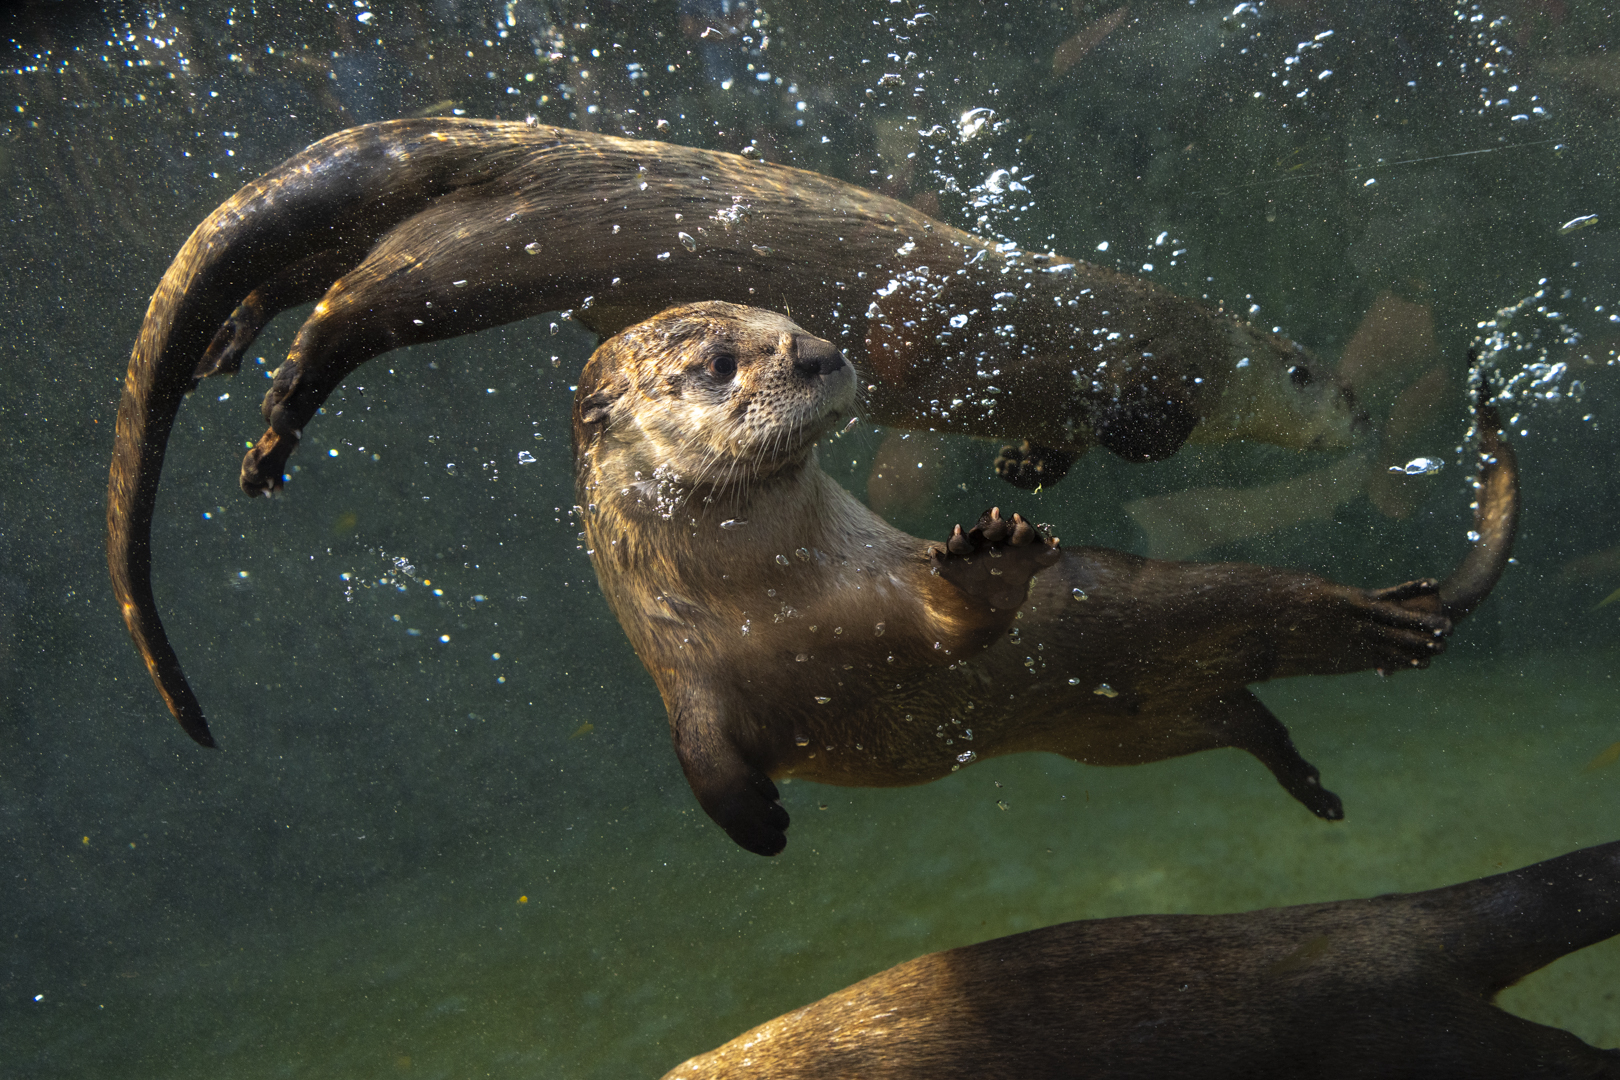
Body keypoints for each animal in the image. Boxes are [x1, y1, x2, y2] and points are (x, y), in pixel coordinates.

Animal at [110, 118, 1366, 743]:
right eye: (1316, 376)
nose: (1361, 411)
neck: (1177, 334)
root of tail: (499, 140)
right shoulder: (1126, 358)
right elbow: (1140, 426)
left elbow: (1047, 443)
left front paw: (1023, 464)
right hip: (486, 252)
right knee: (351, 304)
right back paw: (277, 417)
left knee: (303, 274)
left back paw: (234, 344)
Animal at [575, 304, 1516, 856]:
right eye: (718, 363)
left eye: (791, 319)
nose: (822, 353)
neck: (781, 601)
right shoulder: (686, 675)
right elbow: (701, 756)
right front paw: (760, 823)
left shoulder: (895, 586)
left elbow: (958, 620)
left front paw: (996, 551)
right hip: (1138, 734)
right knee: (1253, 717)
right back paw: (1313, 781)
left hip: (1191, 602)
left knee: (1294, 601)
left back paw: (1383, 624)